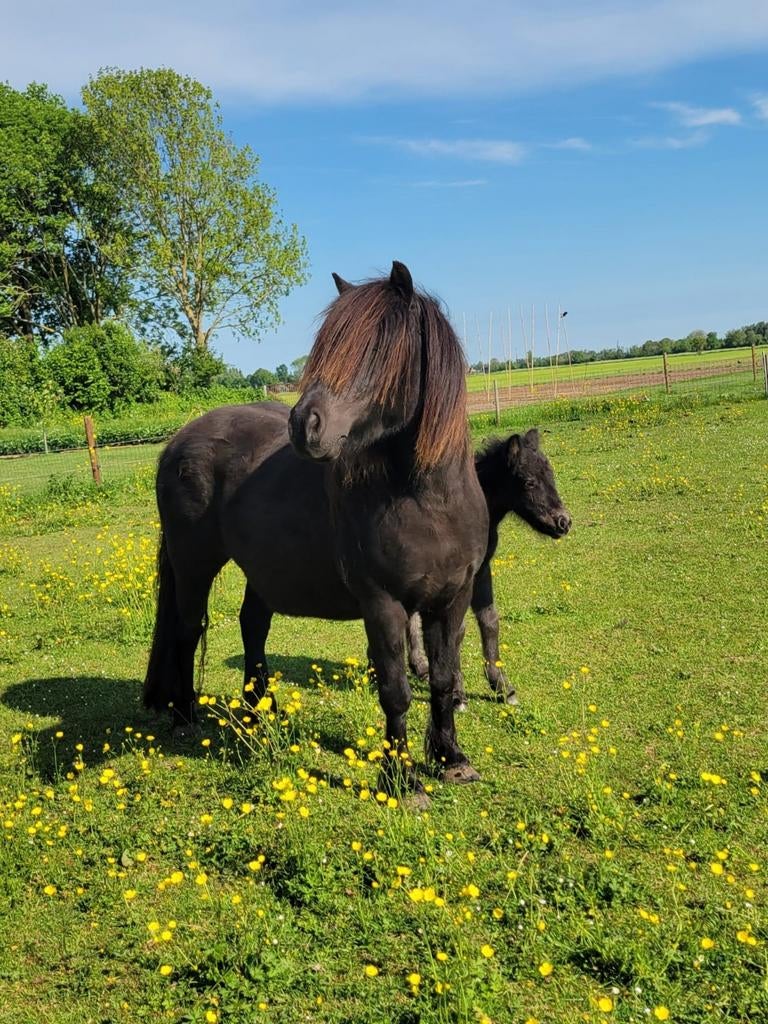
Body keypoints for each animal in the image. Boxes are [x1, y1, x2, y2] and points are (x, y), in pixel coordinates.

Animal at [145, 261, 487, 799]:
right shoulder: (383, 605)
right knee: (186, 630)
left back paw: (259, 717)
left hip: (260, 569)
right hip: (194, 565)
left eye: (378, 348)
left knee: (252, 627)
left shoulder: (452, 600)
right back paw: (184, 717)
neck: (429, 501)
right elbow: (396, 691)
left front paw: (451, 759)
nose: (304, 425)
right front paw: (401, 781)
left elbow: (444, 681)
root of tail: (179, 439)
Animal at [406, 428, 571, 708]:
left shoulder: (482, 570)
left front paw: (503, 686)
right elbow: (456, 631)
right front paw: (458, 694)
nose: (564, 522)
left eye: (551, 475)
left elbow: (490, 621)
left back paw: (419, 667)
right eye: (529, 482)